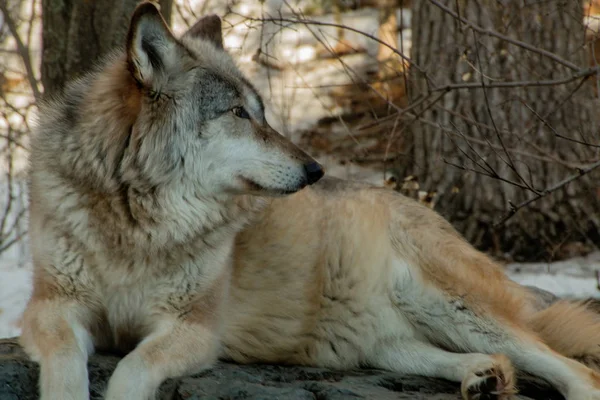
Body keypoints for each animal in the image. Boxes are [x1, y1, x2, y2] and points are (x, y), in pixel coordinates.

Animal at [21, 1, 600, 398]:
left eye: (261, 112)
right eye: (239, 113)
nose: (316, 170)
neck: (136, 224)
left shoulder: (194, 327)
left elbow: (131, 369)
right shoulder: (52, 307)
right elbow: (66, 367)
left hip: (448, 303)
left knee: (573, 368)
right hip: (370, 342)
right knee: (467, 355)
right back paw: (482, 375)